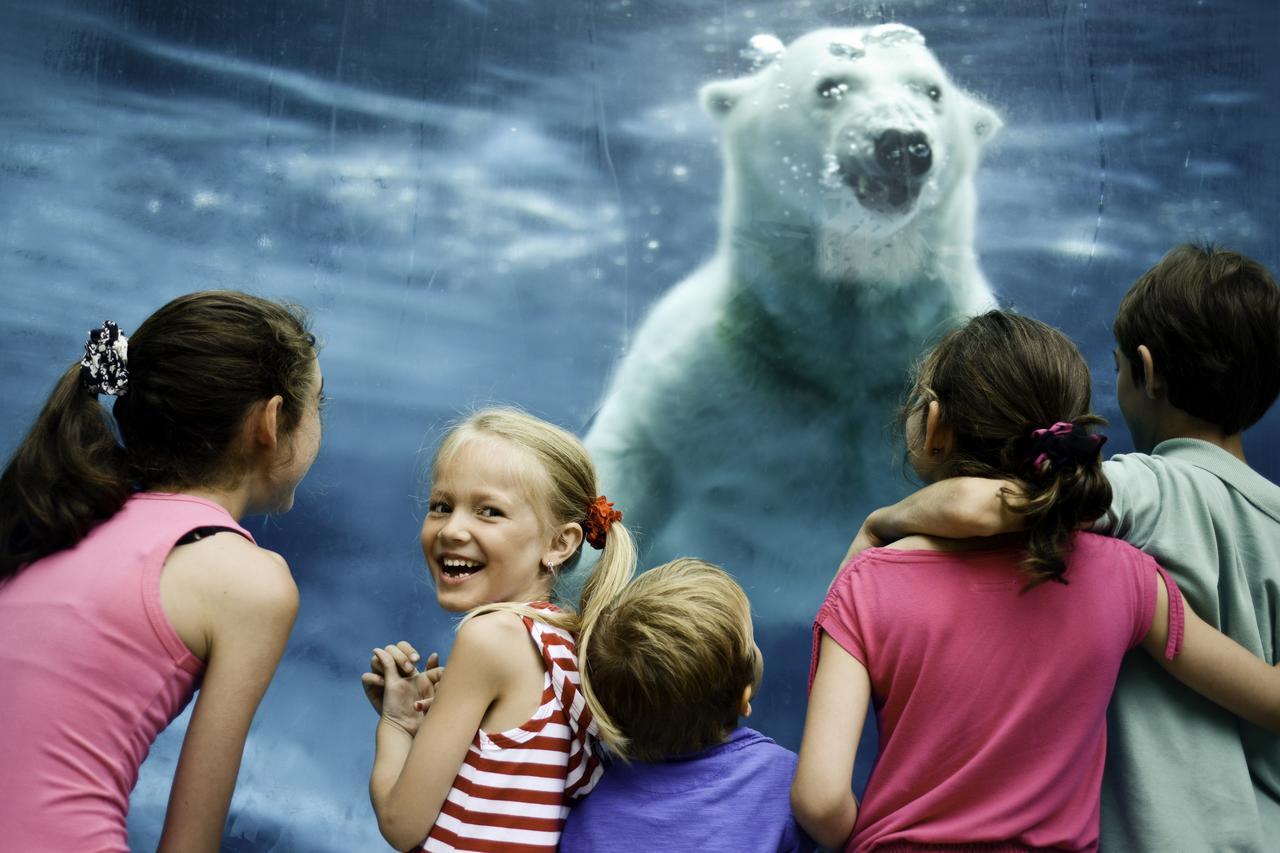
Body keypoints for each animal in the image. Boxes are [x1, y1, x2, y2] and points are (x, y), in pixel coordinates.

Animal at [586, 26, 1003, 612]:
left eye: (932, 91)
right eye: (830, 86)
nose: (902, 145)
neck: (841, 356)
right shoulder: (714, 375)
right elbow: (636, 453)